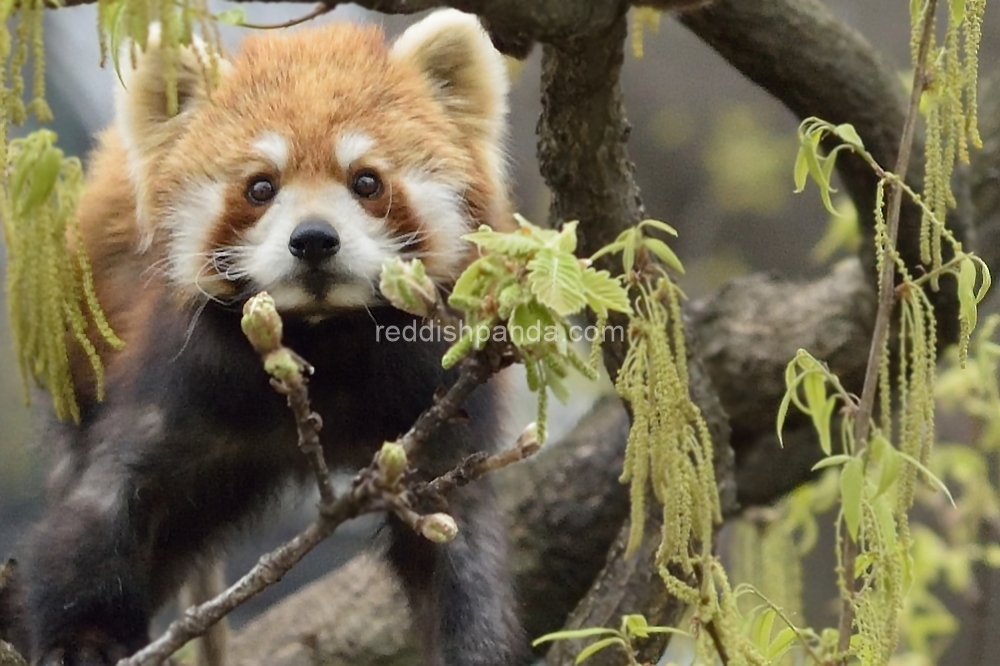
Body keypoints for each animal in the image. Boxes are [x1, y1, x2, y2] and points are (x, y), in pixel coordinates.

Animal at [3, 11, 528, 664]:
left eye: (366, 181)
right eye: (260, 187)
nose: (313, 238)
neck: (322, 340)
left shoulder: (434, 397)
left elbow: (454, 538)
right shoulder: (182, 381)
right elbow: (100, 509)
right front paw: (83, 639)